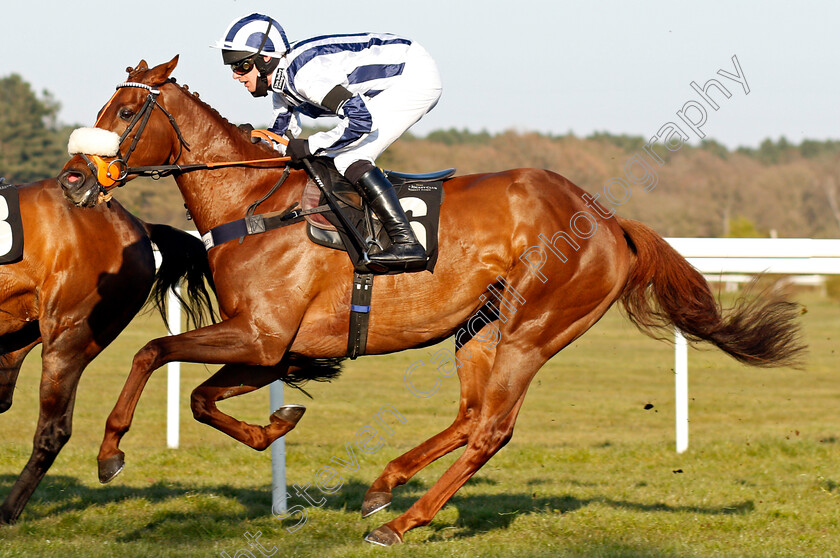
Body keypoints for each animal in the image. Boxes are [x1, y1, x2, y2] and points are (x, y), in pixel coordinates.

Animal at [55, 57, 804, 548]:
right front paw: (280, 424)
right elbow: (202, 397)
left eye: (127, 112)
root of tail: (608, 218)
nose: (71, 182)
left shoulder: (261, 337)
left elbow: (153, 352)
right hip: (479, 329)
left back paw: (401, 521)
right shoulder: (271, 347)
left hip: (533, 328)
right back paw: (384, 487)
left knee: (492, 429)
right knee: (470, 417)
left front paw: (109, 452)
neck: (254, 202)